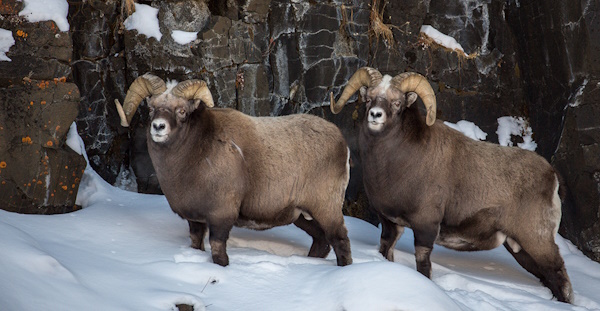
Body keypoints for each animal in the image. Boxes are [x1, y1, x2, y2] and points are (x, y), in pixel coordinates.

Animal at [115, 73, 354, 268]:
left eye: (181, 111)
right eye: (151, 108)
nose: (158, 127)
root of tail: (342, 143)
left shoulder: (221, 215)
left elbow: (218, 252)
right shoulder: (196, 221)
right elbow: (197, 243)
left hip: (326, 209)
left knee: (340, 240)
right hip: (303, 216)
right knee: (322, 242)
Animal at [330, 67, 576, 304]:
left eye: (397, 102)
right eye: (369, 98)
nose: (375, 115)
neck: (395, 163)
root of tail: (552, 177)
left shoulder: (425, 227)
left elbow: (423, 265)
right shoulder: (390, 224)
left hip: (537, 242)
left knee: (559, 277)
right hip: (521, 249)